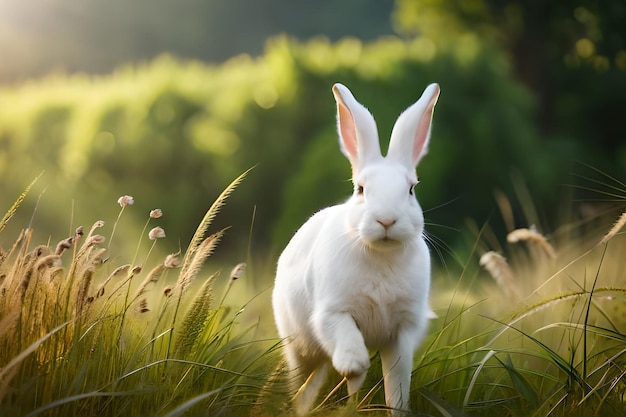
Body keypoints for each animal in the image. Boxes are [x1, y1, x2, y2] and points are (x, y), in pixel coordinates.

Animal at [272, 82, 438, 416]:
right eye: (360, 189)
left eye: (411, 190)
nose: (386, 219)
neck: (381, 254)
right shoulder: (333, 313)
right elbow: (347, 341)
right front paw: (354, 365)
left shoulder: (403, 330)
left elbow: (397, 381)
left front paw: (395, 408)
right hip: (297, 346)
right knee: (301, 378)